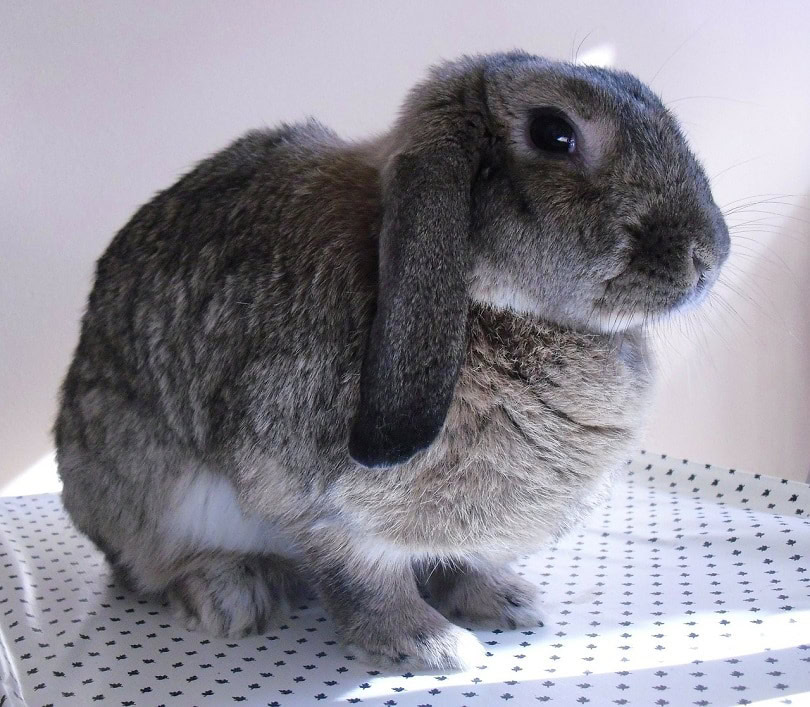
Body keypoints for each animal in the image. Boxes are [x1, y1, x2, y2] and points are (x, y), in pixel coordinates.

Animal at [55, 50, 730, 671]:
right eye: (554, 134)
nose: (710, 255)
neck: (484, 299)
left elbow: (458, 563)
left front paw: (505, 600)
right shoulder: (325, 508)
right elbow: (367, 582)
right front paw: (433, 645)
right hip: (153, 495)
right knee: (151, 566)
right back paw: (232, 592)